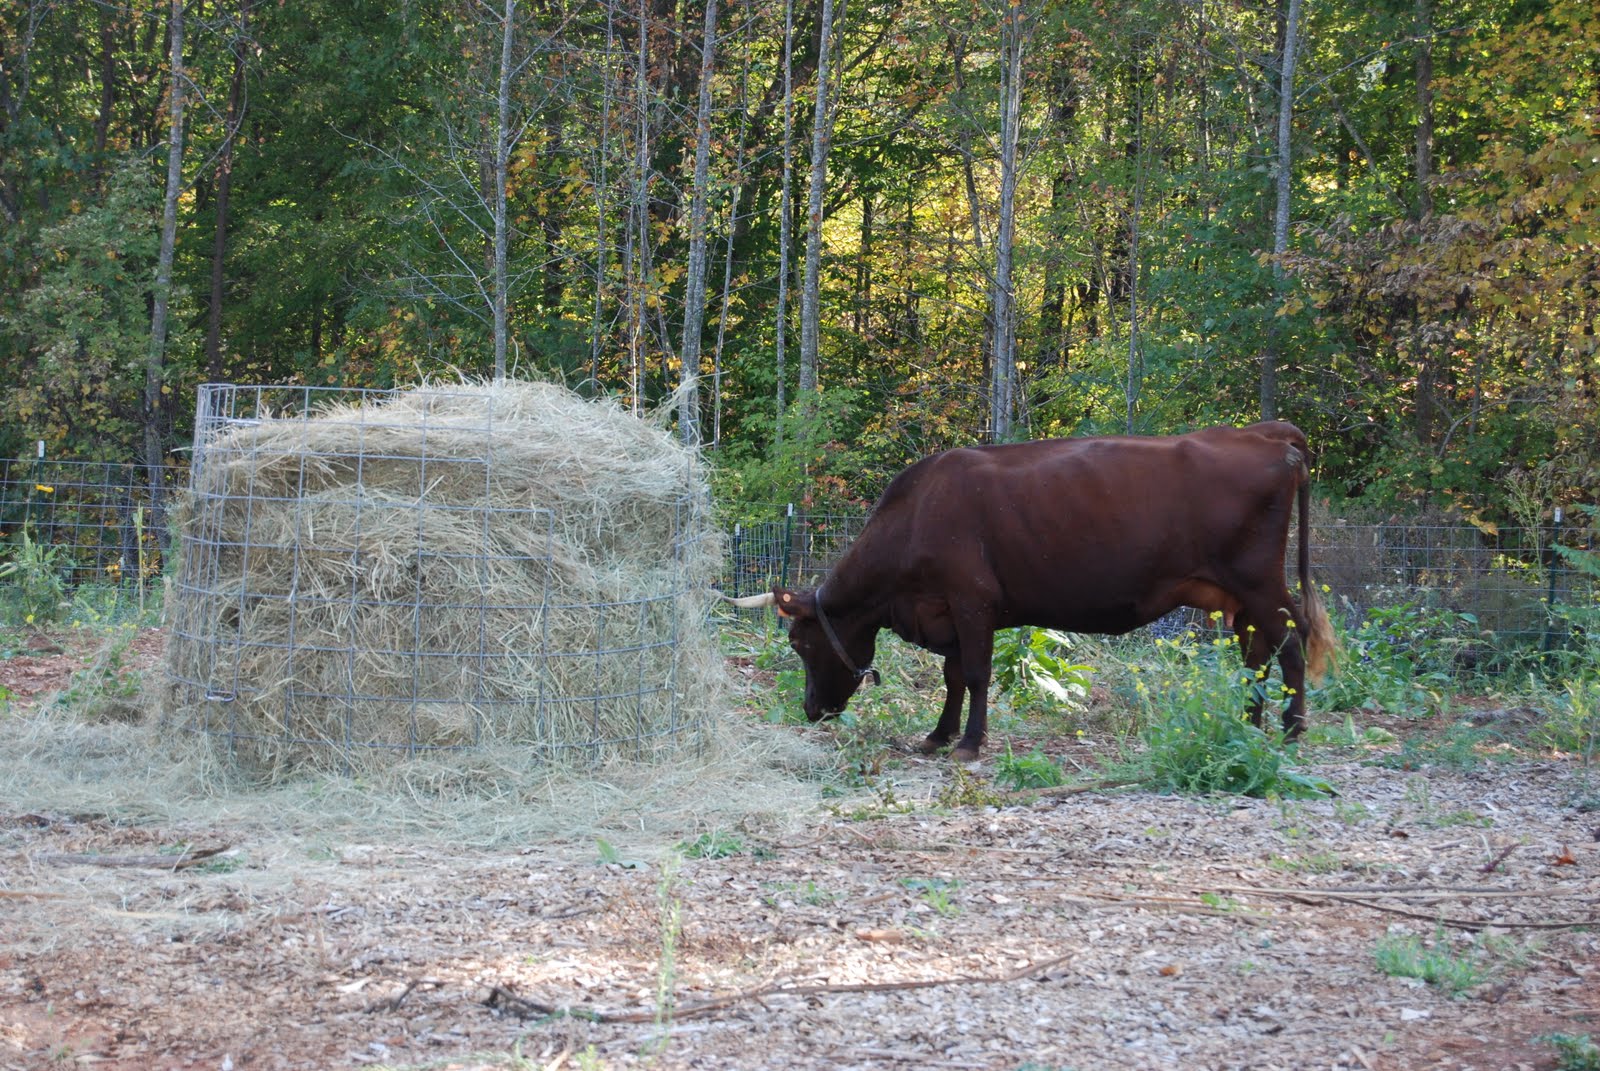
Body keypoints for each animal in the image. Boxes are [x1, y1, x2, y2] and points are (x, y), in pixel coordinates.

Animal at [731, 421, 1335, 762]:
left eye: (801, 644)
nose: (811, 710)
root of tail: (1264, 433)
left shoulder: (971, 600)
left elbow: (975, 674)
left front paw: (969, 744)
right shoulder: (946, 612)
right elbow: (953, 676)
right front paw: (939, 736)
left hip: (1259, 581)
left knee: (1291, 643)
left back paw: (1290, 731)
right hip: (1239, 597)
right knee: (1256, 655)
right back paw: (1248, 725)